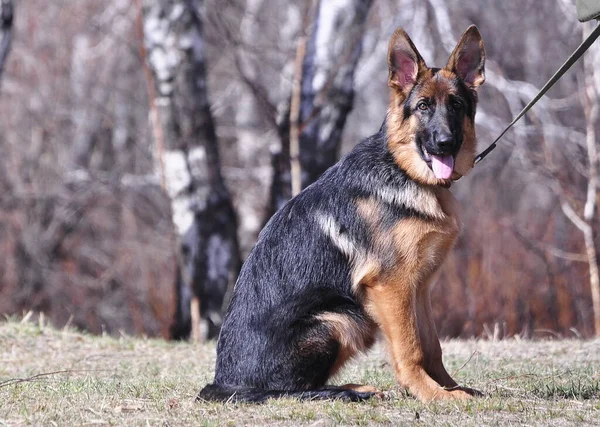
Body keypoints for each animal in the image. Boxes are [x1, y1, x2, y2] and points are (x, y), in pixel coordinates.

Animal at [199, 25, 486, 404]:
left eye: (456, 105)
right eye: (423, 107)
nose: (445, 143)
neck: (403, 171)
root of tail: (223, 384)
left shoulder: (419, 287)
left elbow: (432, 347)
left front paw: (449, 387)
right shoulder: (391, 286)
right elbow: (410, 348)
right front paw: (431, 394)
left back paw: (357, 388)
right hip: (342, 318)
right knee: (289, 391)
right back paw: (350, 392)